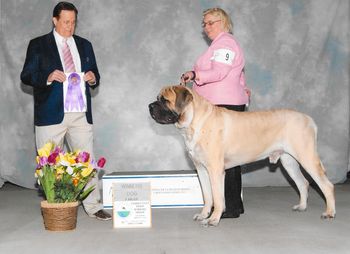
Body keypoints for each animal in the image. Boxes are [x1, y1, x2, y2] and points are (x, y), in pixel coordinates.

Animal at [148, 85, 336, 226]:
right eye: (157, 98)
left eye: (164, 100)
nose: (150, 106)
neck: (194, 122)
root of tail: (309, 119)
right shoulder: (201, 169)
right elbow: (207, 196)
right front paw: (203, 215)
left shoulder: (215, 170)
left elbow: (217, 197)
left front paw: (213, 219)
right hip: (288, 161)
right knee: (303, 183)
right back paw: (302, 206)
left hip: (307, 157)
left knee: (326, 185)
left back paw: (329, 212)